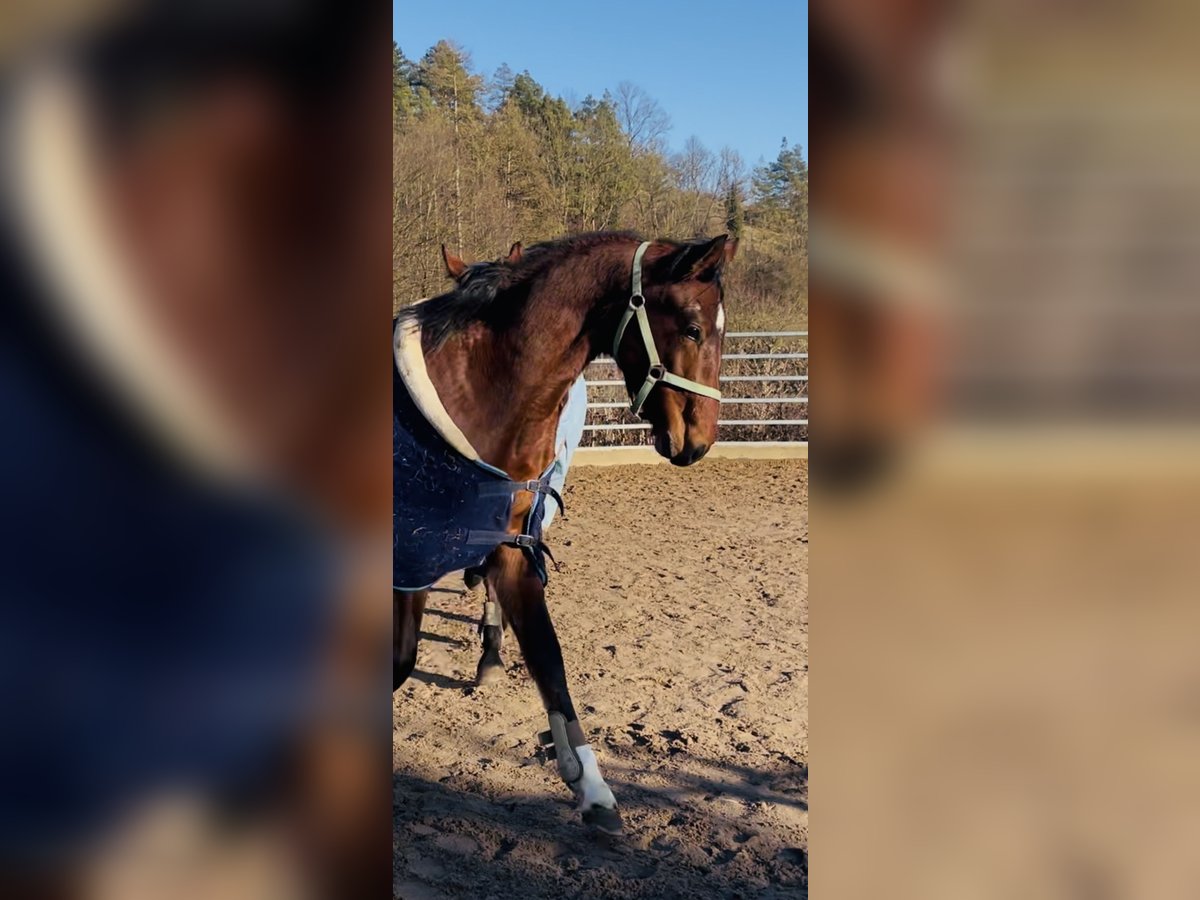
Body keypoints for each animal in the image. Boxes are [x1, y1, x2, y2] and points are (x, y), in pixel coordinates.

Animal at [396, 229, 729, 835]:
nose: (699, 441)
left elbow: (548, 657)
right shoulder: (411, 555)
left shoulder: (511, 545)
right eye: (694, 328)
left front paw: (590, 787)